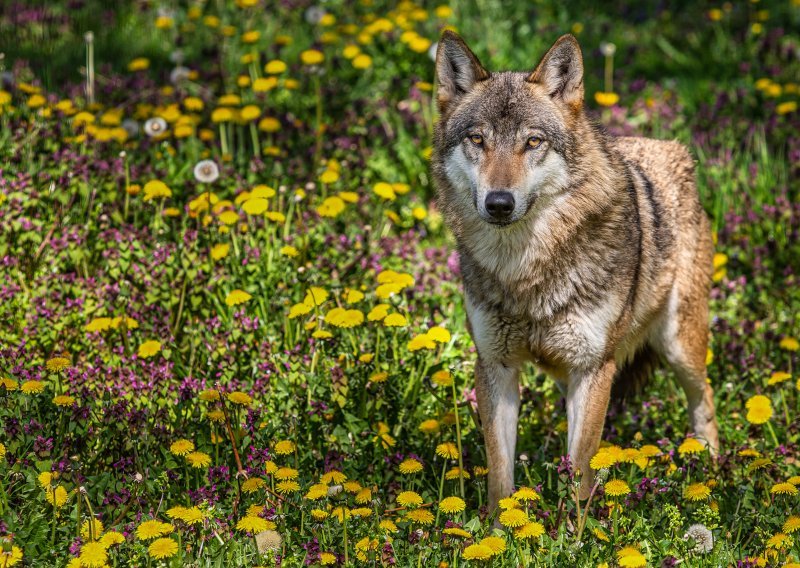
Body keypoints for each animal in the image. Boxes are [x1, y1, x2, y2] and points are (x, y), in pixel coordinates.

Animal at [434, 31, 720, 510]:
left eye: (532, 142)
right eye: (477, 139)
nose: (499, 203)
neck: (525, 270)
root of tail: (672, 148)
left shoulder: (593, 368)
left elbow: (582, 476)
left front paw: (578, 528)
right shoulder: (496, 366)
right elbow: (500, 477)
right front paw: (498, 527)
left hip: (680, 347)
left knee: (706, 401)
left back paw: (717, 478)